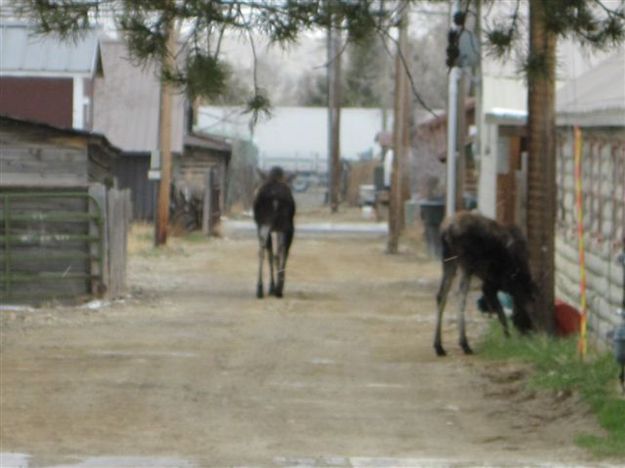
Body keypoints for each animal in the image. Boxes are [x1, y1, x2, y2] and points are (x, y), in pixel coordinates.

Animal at [252, 166, 294, 298]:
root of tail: (275, 198)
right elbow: (278, 253)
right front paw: (275, 287)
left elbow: (271, 253)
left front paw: (272, 286)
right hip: (285, 225)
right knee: (282, 250)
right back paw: (278, 288)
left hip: (264, 224)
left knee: (262, 250)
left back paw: (260, 288)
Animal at [432, 212, 532, 354]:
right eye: (527, 316)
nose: (528, 333)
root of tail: (447, 230)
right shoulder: (490, 284)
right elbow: (501, 312)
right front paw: (507, 337)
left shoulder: (492, 285)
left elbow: (499, 310)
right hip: (466, 263)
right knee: (460, 295)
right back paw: (464, 344)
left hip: (448, 259)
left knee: (441, 295)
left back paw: (438, 346)